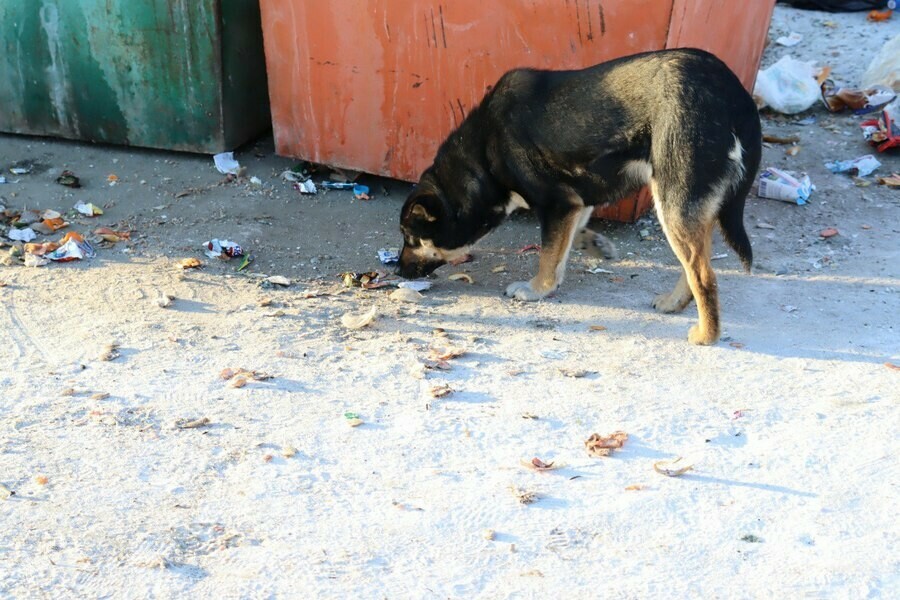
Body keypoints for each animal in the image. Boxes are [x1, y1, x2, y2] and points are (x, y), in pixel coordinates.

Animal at [400, 48, 760, 344]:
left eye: (412, 238)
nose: (398, 271)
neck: (481, 158)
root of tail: (736, 95)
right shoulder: (574, 202)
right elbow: (570, 238)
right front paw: (595, 245)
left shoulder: (556, 204)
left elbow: (548, 255)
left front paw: (536, 289)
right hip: (690, 207)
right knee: (698, 264)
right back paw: (676, 303)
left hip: (673, 202)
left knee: (704, 275)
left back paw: (707, 335)